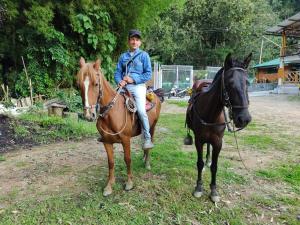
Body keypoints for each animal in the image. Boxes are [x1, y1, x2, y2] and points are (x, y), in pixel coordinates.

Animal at [77, 57, 162, 196]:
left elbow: (127, 159)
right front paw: (109, 185)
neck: (111, 113)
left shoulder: (125, 140)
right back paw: (143, 158)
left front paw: (129, 183)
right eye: (79, 85)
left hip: (152, 127)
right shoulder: (106, 141)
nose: (89, 115)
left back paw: (147, 163)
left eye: (96, 84)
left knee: (150, 143)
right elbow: (111, 162)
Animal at [186, 52, 252, 202]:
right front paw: (198, 187)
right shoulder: (199, 140)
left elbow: (215, 167)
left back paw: (208, 161)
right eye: (230, 83)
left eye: (248, 83)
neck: (210, 113)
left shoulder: (218, 142)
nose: (244, 119)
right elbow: (199, 163)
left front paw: (214, 190)